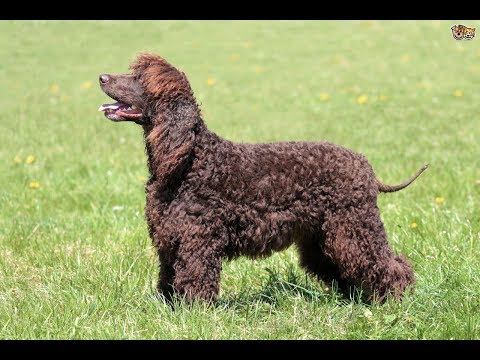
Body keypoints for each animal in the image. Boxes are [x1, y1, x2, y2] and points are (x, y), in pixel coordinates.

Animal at [97, 52, 428, 304]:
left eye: (140, 79)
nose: (101, 77)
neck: (189, 160)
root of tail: (366, 167)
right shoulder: (169, 239)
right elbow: (168, 279)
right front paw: (169, 309)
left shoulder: (198, 241)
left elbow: (194, 279)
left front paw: (193, 314)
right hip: (322, 238)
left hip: (353, 226)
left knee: (389, 264)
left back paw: (397, 300)